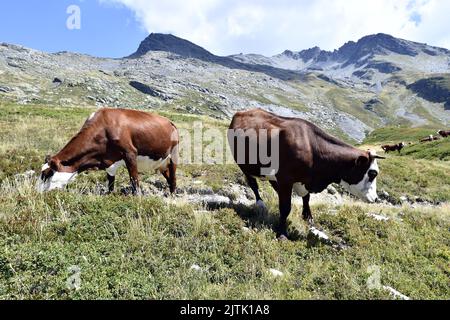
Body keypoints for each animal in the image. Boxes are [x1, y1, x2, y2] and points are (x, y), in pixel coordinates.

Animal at [37, 107, 178, 194]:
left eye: (47, 173)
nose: (36, 192)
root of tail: (170, 122)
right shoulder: (109, 163)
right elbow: (110, 185)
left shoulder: (130, 154)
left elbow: (134, 182)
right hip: (161, 163)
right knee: (168, 177)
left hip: (173, 156)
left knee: (173, 179)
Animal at [229, 109, 384, 239]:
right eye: (372, 173)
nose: (376, 198)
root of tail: (241, 112)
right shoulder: (286, 179)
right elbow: (285, 208)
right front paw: (282, 233)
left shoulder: (302, 181)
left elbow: (306, 198)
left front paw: (308, 217)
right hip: (244, 165)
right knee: (253, 184)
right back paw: (260, 204)